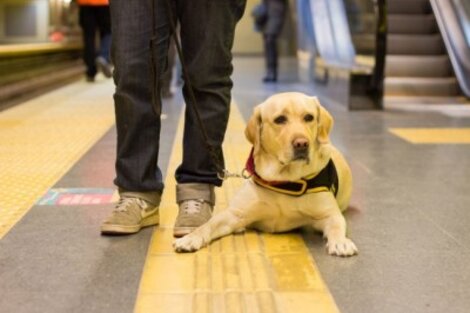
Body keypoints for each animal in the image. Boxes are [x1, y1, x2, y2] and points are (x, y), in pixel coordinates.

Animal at [174, 91, 358, 256]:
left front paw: (341, 242)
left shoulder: (329, 214)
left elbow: (336, 226)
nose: (302, 144)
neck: (285, 181)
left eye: (309, 117)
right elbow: (209, 225)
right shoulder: (234, 214)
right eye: (280, 120)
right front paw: (191, 237)